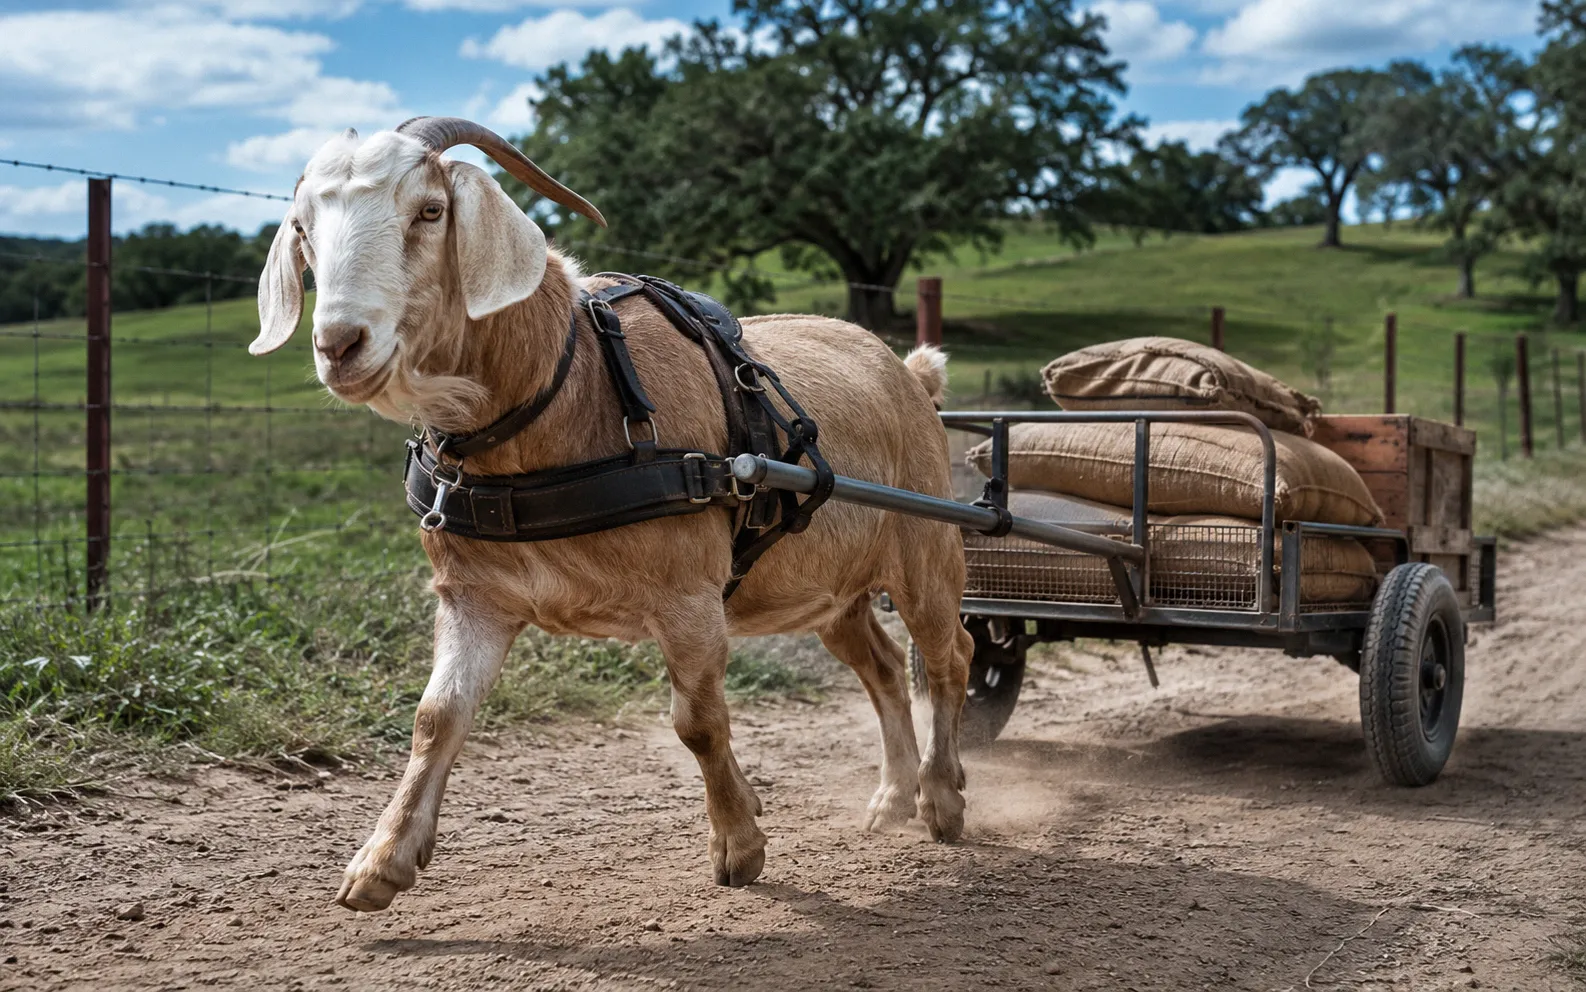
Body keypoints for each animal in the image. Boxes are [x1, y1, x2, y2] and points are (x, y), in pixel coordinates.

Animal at [252, 118, 972, 913]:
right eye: (302, 229)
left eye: (430, 211)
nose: (339, 345)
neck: (575, 383)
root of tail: (909, 373)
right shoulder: (475, 597)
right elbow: (437, 716)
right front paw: (381, 862)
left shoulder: (687, 595)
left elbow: (697, 721)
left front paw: (739, 845)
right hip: (831, 590)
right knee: (883, 667)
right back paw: (892, 800)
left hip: (926, 549)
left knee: (950, 656)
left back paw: (942, 799)